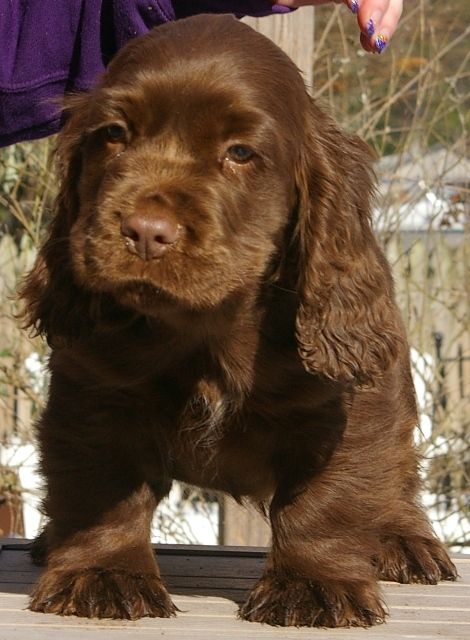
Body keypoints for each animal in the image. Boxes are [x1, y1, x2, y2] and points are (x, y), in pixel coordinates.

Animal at [21, 15, 456, 632]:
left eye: (241, 152)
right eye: (114, 134)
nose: (145, 231)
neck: (206, 324)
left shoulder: (349, 410)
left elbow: (329, 499)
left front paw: (313, 585)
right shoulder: (94, 395)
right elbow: (103, 486)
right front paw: (103, 574)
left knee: (396, 474)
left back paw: (405, 540)